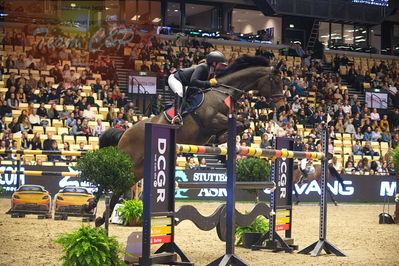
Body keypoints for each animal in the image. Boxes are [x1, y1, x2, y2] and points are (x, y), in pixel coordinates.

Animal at [95, 55, 286, 225]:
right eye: (276, 80)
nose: (283, 106)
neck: (223, 92)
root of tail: (125, 132)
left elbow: (242, 124)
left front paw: (220, 138)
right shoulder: (213, 119)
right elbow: (240, 122)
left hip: (138, 169)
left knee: (120, 187)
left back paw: (102, 217)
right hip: (130, 159)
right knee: (109, 181)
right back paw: (94, 210)